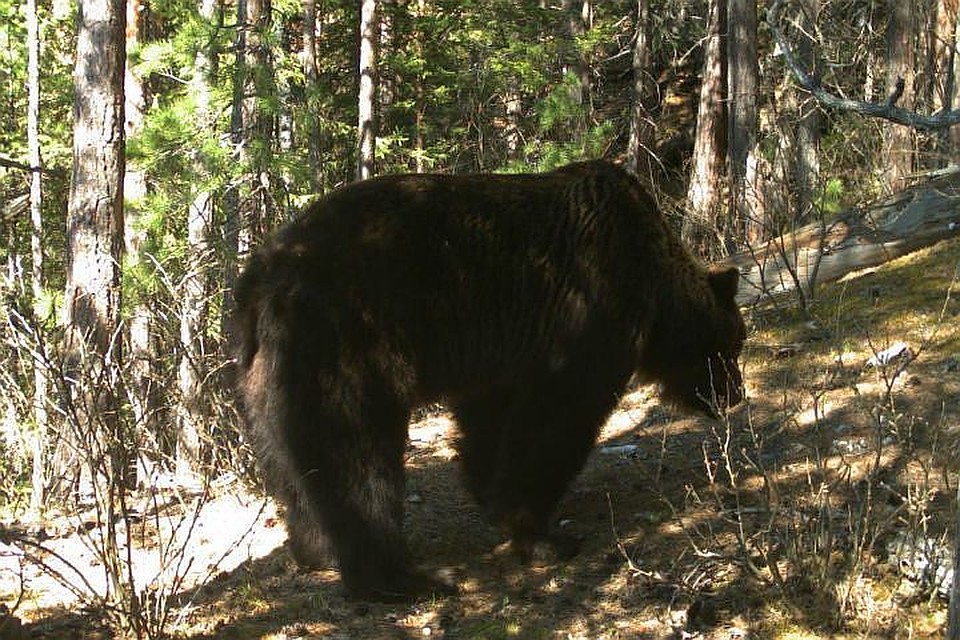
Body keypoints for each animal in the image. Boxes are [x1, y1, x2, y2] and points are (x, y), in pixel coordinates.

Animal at [236, 159, 748, 600]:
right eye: (732, 345)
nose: (736, 394)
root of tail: (259, 278)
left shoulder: (500, 352)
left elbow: (488, 423)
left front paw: (491, 496)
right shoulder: (586, 318)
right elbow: (556, 420)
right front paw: (540, 533)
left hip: (265, 376)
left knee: (289, 461)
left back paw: (317, 549)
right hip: (345, 344)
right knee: (357, 458)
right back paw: (406, 578)